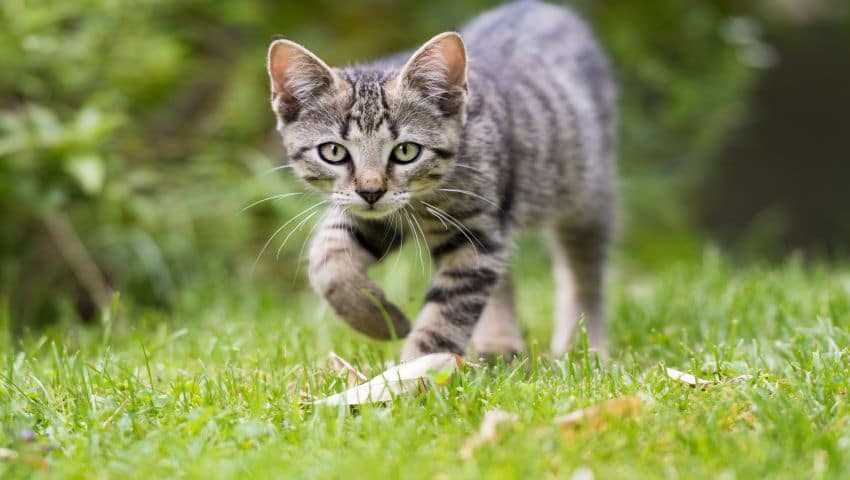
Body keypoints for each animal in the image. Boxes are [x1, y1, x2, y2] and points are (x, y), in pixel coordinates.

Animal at [264, 0, 616, 360]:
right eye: (334, 152)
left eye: (406, 151)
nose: (371, 192)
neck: (423, 201)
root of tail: (542, 7)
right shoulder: (373, 218)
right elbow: (328, 258)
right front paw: (378, 318)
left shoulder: (476, 234)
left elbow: (446, 314)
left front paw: (419, 369)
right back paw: (499, 345)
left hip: (586, 193)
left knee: (584, 272)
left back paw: (584, 347)